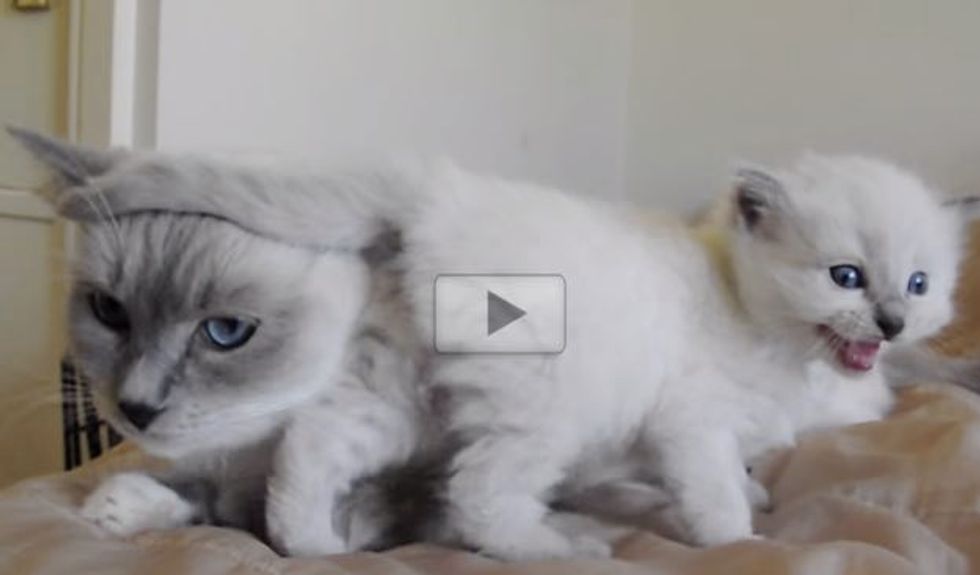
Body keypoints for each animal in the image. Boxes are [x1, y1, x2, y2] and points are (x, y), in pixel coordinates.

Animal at [17, 128, 980, 560]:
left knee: (313, 445)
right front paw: (737, 541)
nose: (891, 323)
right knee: (480, 496)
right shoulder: (692, 420)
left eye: (918, 284)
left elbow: (722, 474)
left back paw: (312, 541)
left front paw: (755, 498)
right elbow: (713, 495)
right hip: (545, 407)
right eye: (846, 277)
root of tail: (439, 194)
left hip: (408, 403)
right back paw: (560, 547)